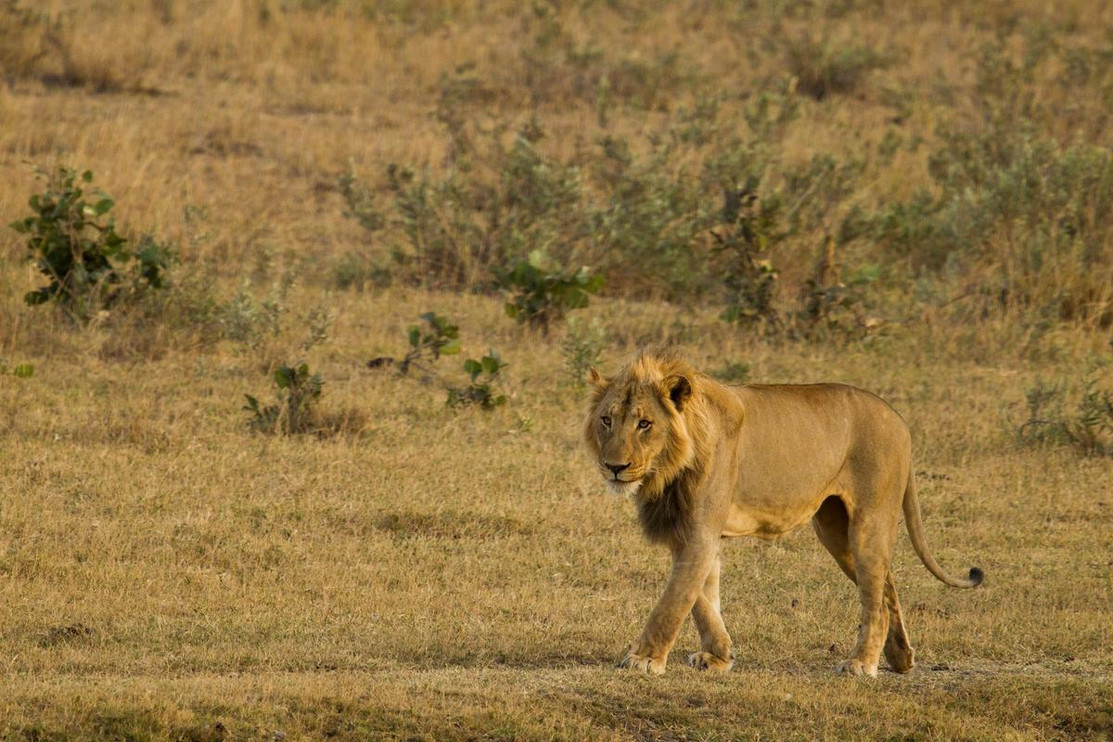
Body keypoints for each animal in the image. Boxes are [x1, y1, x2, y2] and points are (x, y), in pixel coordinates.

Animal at [584, 348, 983, 677]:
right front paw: (719, 656)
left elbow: (674, 599)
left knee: (876, 599)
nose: (614, 467)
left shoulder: (699, 531)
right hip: (834, 530)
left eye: (644, 424)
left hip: (868, 522)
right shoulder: (684, 531)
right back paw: (900, 658)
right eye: (606, 420)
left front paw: (645, 658)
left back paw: (861, 663)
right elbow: (701, 597)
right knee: (886, 585)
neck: (667, 470)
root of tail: (898, 418)